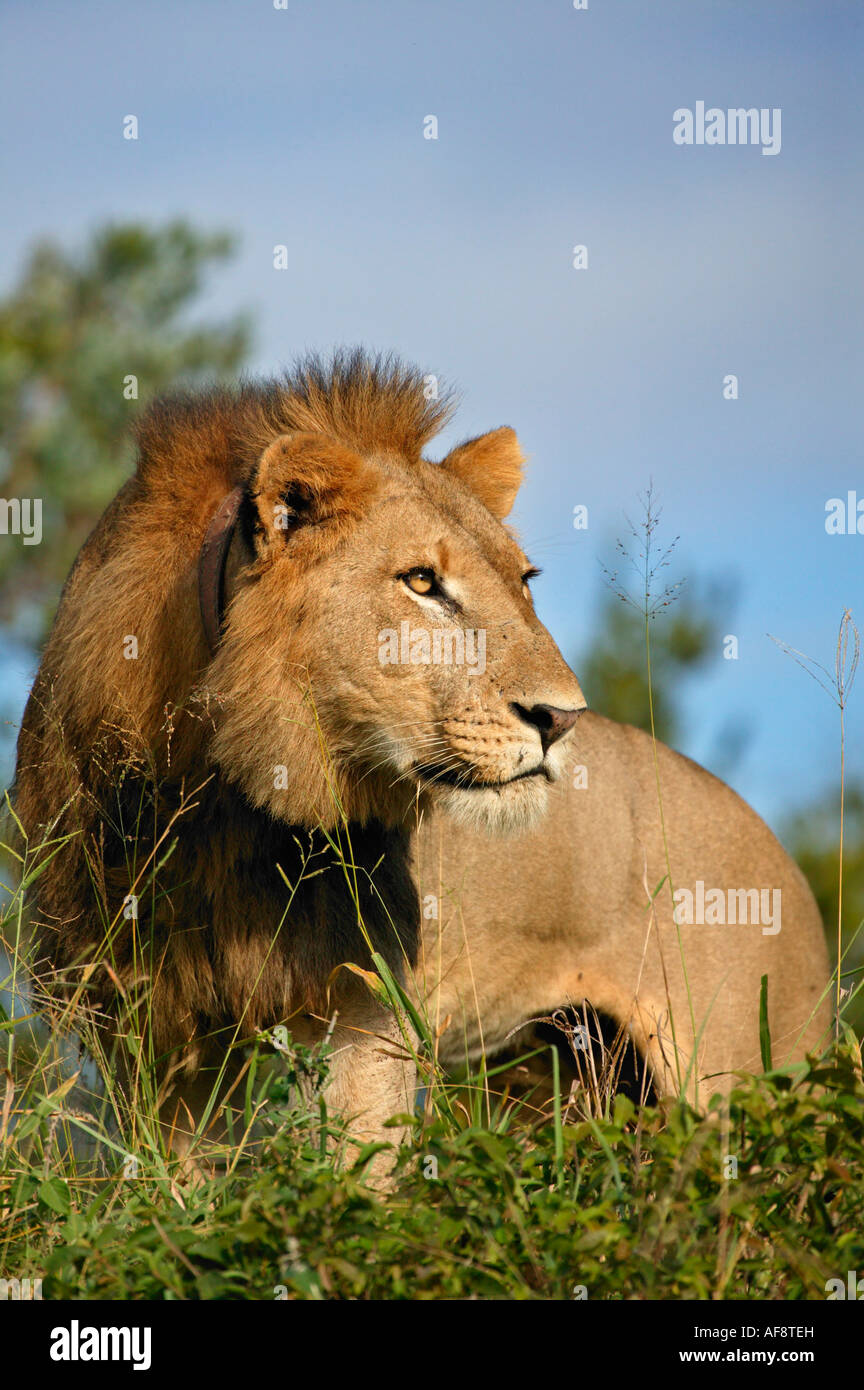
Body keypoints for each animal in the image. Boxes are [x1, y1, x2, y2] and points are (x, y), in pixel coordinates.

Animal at [13, 350, 831, 1170]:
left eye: (523, 581)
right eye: (421, 582)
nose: (563, 718)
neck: (214, 792)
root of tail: (781, 859)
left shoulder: (364, 1007)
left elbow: (356, 1171)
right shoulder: (148, 1029)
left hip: (745, 1075)